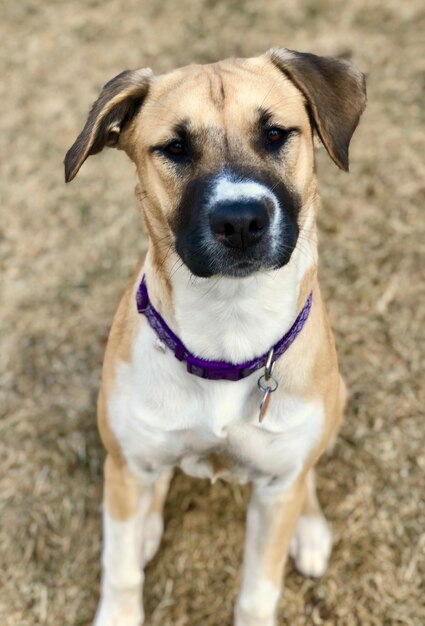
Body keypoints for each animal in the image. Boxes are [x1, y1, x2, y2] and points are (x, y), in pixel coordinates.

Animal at [65, 46, 364, 620]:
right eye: (175, 148)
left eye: (275, 134)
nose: (241, 220)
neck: (230, 327)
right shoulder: (126, 464)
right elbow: (119, 569)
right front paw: (119, 607)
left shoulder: (275, 493)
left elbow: (258, 592)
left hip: (334, 401)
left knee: (308, 473)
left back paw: (310, 528)